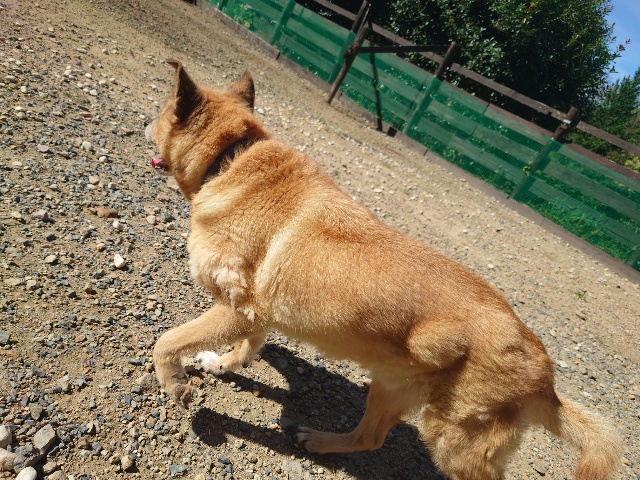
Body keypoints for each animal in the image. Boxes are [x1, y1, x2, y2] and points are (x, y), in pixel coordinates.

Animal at [146, 61, 621, 480]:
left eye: (162, 112)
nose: (145, 126)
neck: (230, 159)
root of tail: (544, 373)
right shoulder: (255, 313)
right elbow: (246, 348)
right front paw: (219, 363)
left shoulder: (237, 309)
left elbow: (166, 341)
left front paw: (175, 384)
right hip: (392, 386)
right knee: (369, 438)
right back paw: (319, 440)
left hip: (454, 439)